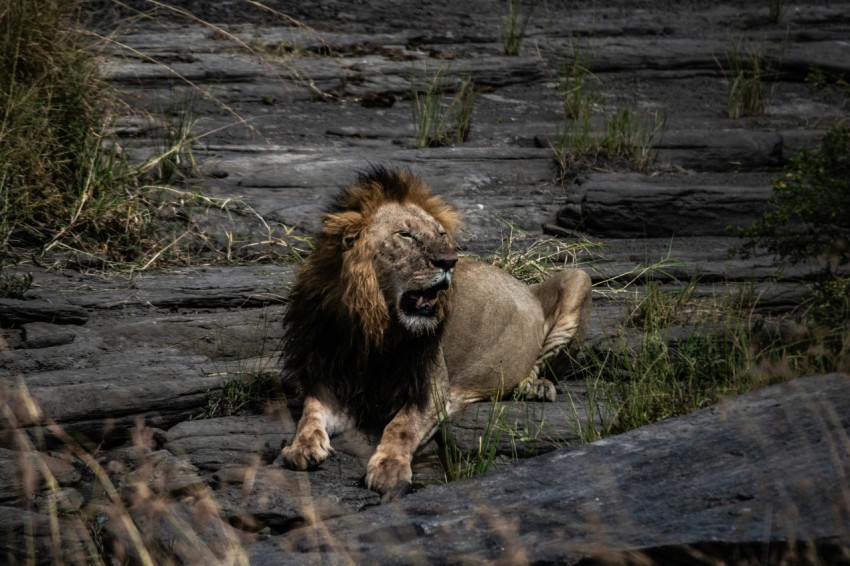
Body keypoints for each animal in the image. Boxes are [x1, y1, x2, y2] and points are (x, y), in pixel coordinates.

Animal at [280, 168, 588, 502]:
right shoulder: (336, 382)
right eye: (405, 235)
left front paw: (389, 467)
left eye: (441, 235)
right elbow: (310, 412)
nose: (449, 261)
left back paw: (534, 388)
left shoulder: (434, 388)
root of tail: (524, 284)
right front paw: (301, 446)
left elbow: (402, 425)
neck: (375, 324)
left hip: (579, 277)